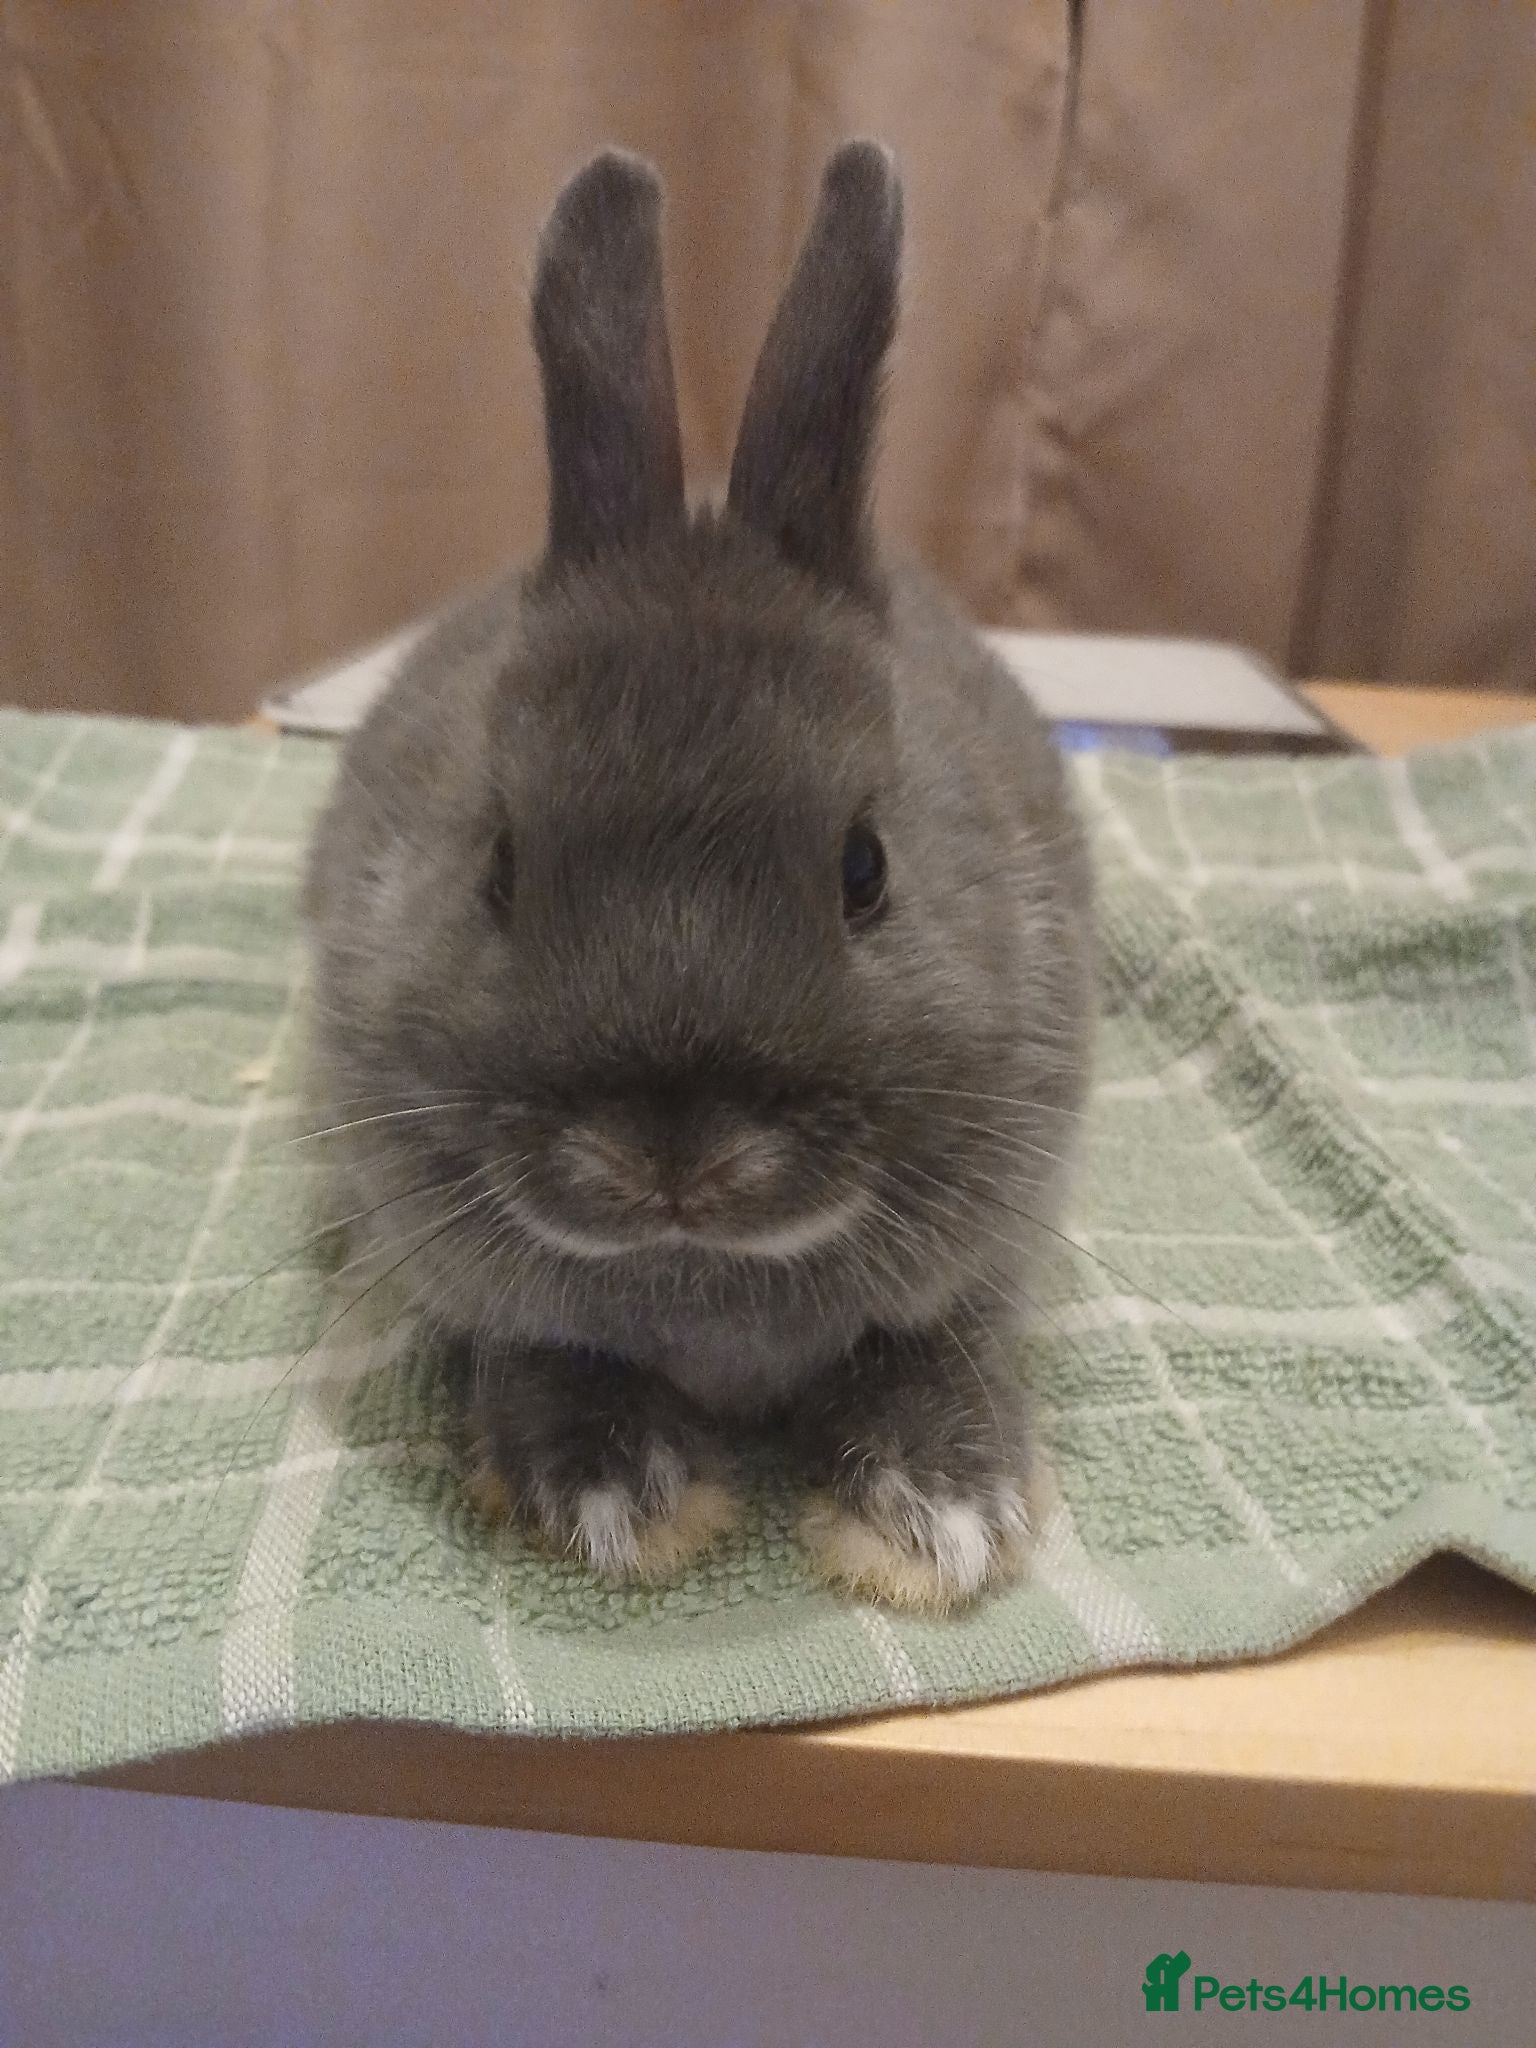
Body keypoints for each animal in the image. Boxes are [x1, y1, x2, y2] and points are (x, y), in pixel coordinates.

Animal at [301, 141, 1094, 1612]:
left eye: (866, 867)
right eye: (499, 864)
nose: (674, 1160)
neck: (702, 1270)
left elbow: (932, 1347)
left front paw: (945, 1518)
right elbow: (548, 1349)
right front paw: (616, 1496)